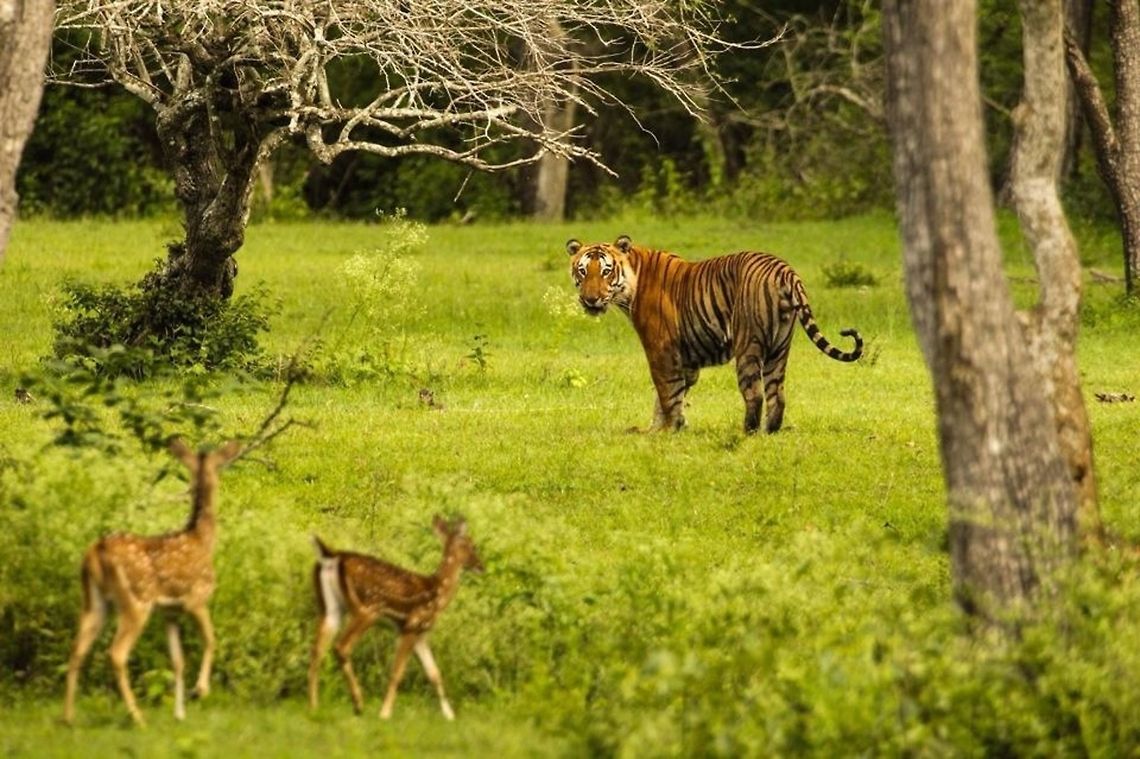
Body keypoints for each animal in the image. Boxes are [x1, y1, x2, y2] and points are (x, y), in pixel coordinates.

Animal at [62, 437, 241, 726]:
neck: (202, 540)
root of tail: (96, 553)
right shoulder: (196, 598)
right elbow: (211, 640)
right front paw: (200, 690)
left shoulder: (169, 612)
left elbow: (178, 661)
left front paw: (179, 713)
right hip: (137, 600)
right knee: (116, 653)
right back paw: (137, 717)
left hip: (94, 601)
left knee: (77, 647)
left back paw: (68, 717)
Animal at [308, 515, 484, 721]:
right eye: (471, 545)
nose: (481, 566)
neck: (437, 594)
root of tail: (331, 556)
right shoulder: (410, 626)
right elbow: (397, 672)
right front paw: (385, 713)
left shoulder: (421, 634)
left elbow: (434, 673)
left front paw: (449, 716)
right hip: (366, 608)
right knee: (341, 646)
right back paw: (358, 704)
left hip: (330, 608)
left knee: (317, 651)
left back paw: (314, 706)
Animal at [566, 235, 863, 434]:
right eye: (583, 271)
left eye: (606, 271)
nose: (590, 300)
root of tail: (784, 270)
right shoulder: (686, 359)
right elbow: (672, 394)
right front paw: (664, 428)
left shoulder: (661, 348)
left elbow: (666, 391)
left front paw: (667, 431)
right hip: (780, 348)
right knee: (777, 395)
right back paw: (770, 431)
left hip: (748, 344)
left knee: (754, 394)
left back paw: (747, 432)